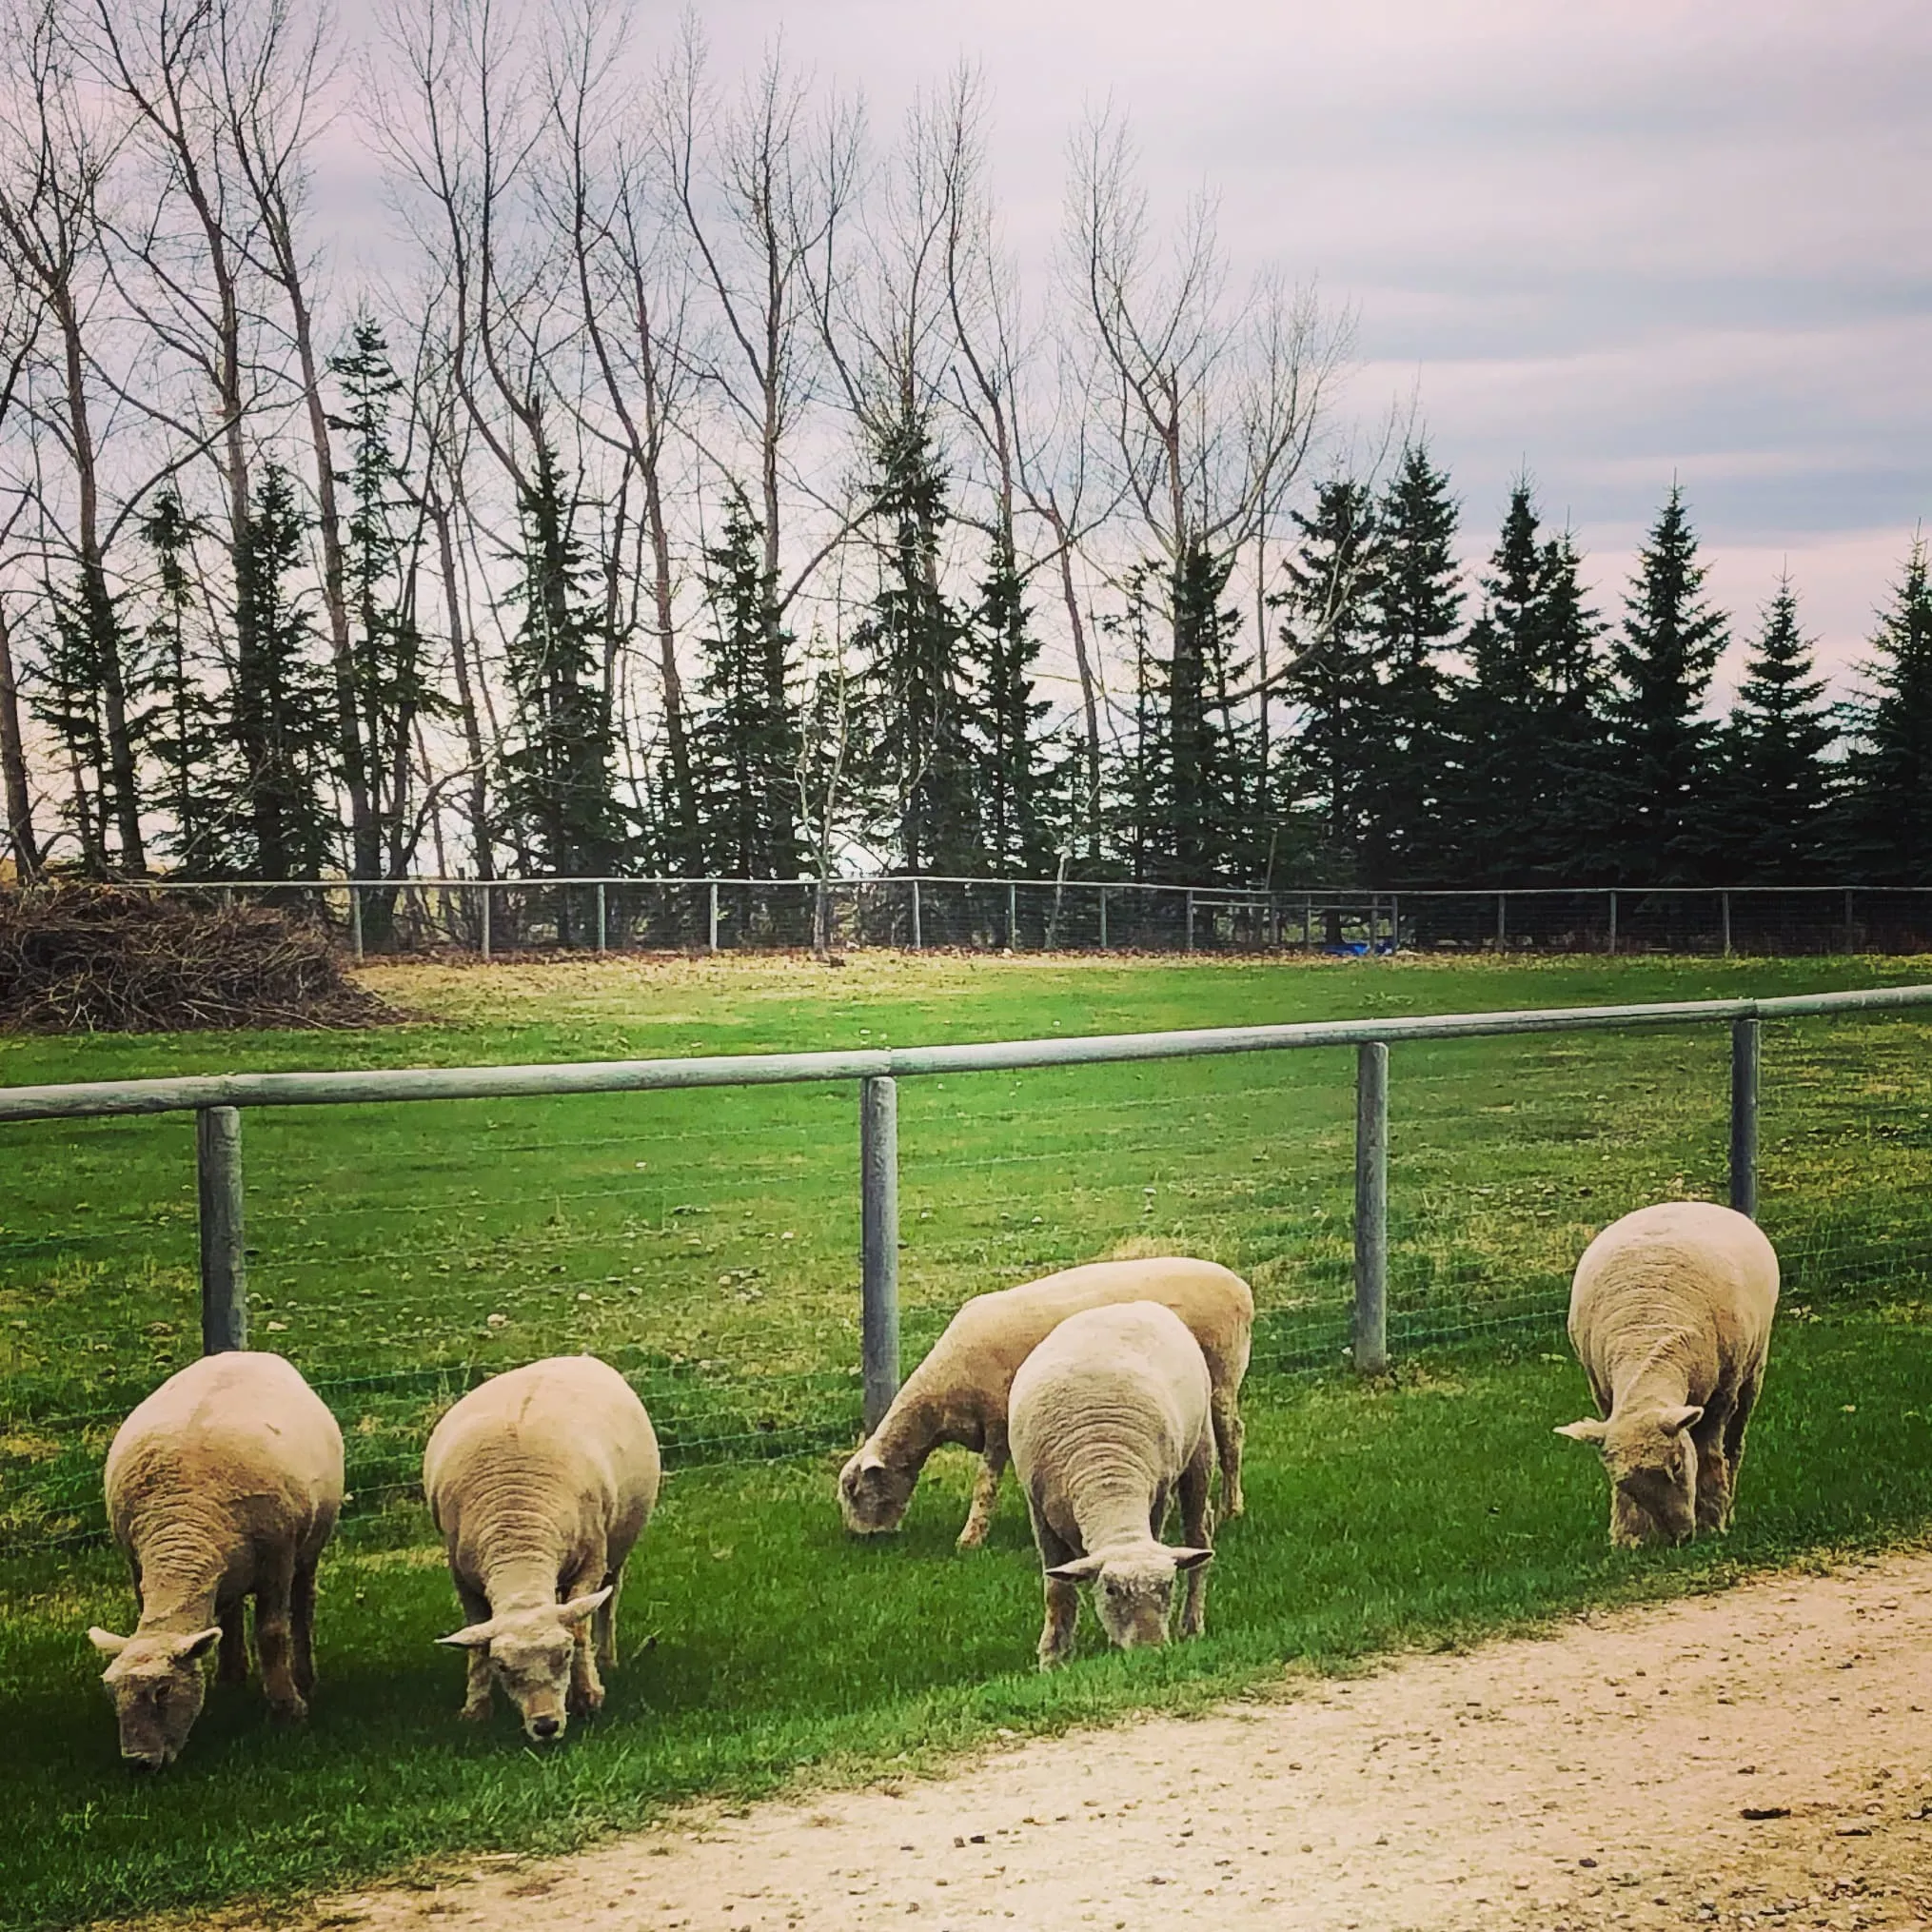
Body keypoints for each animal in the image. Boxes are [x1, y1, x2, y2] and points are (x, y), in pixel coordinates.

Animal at [87, 1350, 344, 1770]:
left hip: (309, 1547)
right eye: (111, 1693)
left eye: (163, 1690)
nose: (139, 1763)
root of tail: (242, 1353)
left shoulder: (278, 1560)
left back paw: (304, 1676)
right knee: (231, 1609)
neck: (181, 1522)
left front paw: (288, 1708)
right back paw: (231, 1672)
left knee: (302, 1607)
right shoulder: (137, 1564)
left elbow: (272, 1635)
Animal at [423, 1355, 659, 1741]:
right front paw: (475, 1708)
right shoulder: (462, 1575)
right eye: (503, 1666)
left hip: (617, 1546)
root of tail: (578, 1356)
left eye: (563, 1655)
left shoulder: (592, 1560)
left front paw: (588, 1695)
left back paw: (607, 1659)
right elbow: (476, 1642)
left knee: (607, 1602)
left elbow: (579, 1627)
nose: (546, 1725)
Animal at [838, 1256, 1251, 1549]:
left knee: (1232, 1438)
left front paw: (970, 1538)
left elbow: (984, 1485)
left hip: (1223, 1377)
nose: (861, 1539)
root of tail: (1241, 1287)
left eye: (855, 1491)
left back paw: (1232, 1508)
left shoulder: (999, 1424)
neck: (942, 1396)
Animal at [1008, 1300, 1215, 1667]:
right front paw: (1052, 1657)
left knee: (1198, 1534)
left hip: (1201, 1445)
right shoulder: (1039, 1509)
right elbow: (1057, 1588)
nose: (1150, 1650)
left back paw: (1192, 1626)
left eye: (1167, 1586)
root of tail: (1133, 1303)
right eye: (1111, 1590)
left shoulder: (1157, 1496)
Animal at [1556, 1200, 1779, 1548]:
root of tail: (1687, 1202)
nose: (1680, 1538)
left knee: (1734, 1445)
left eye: (1676, 1464)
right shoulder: (1604, 1397)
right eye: (1624, 1483)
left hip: (1753, 1369)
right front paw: (1627, 1535)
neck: (1645, 1332)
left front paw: (1712, 1521)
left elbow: (1709, 1455)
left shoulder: (1721, 1397)